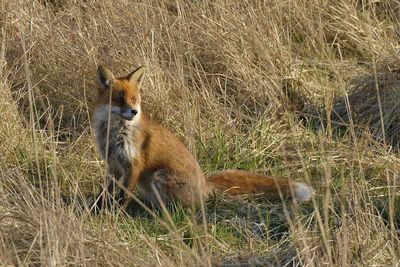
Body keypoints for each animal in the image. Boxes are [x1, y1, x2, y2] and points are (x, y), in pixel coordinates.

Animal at [92, 66, 314, 210]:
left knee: (190, 208)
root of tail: (205, 183)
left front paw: (116, 214)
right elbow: (107, 192)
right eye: (118, 99)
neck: (113, 133)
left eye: (134, 99)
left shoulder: (134, 164)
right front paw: (100, 209)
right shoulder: (113, 165)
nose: (134, 111)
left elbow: (123, 197)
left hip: (160, 177)